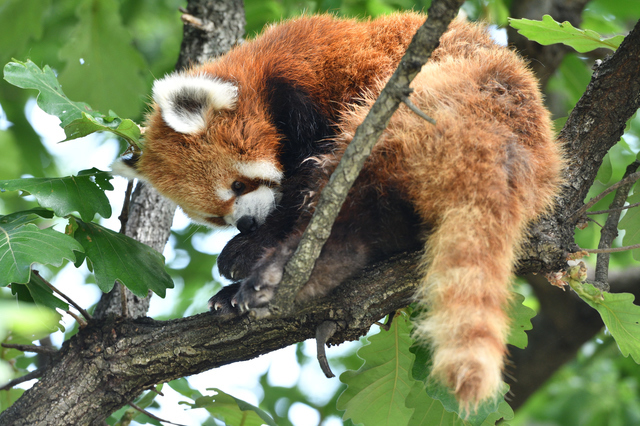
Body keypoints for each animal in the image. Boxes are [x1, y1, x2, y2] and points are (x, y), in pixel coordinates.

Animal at [112, 12, 564, 410]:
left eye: (239, 186)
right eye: (216, 217)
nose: (246, 223)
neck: (259, 68)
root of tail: (511, 143)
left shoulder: (310, 86)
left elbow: (301, 186)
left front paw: (246, 249)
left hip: (432, 99)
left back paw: (289, 270)